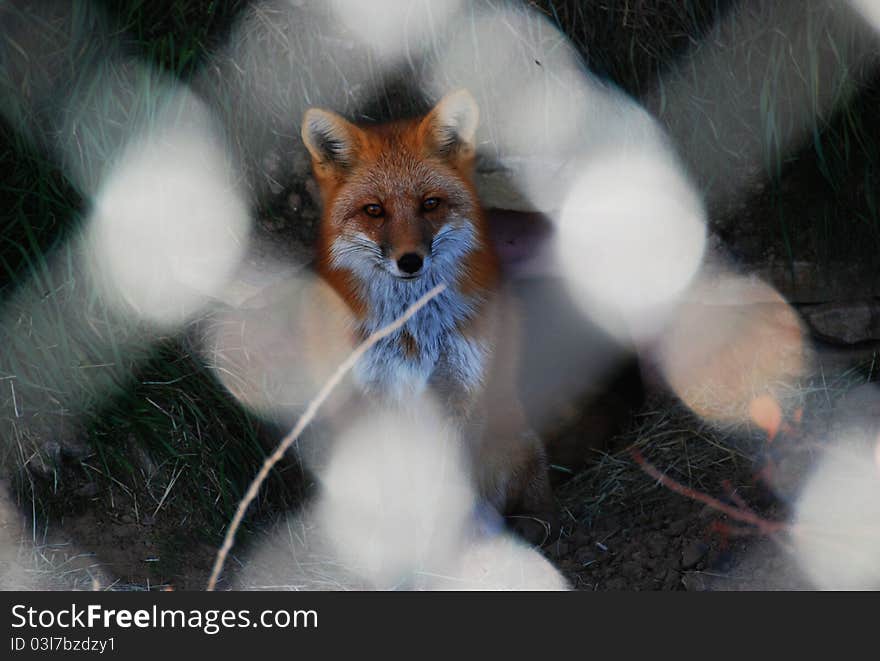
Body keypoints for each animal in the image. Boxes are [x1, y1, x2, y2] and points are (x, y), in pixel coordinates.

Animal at [298, 87, 556, 540]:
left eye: (430, 204)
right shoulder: (379, 398)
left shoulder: (461, 393)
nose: (409, 261)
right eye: (374, 210)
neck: (413, 334)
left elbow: (448, 488)